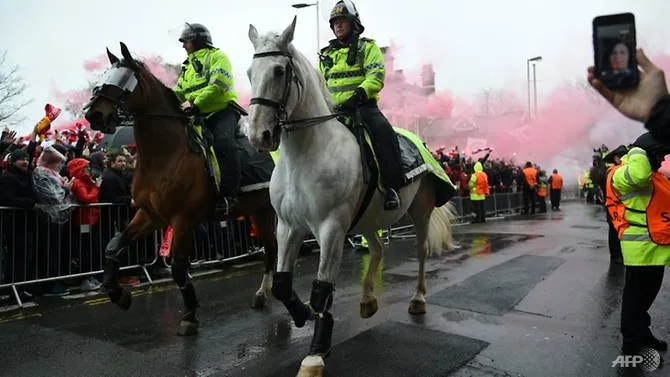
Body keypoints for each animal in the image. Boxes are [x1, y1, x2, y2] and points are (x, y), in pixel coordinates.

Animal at [84, 41, 278, 334]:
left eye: (122, 79)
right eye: (105, 75)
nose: (93, 114)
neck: (165, 154)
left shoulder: (183, 219)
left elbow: (177, 268)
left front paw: (189, 315)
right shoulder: (150, 215)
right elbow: (113, 245)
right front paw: (117, 292)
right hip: (259, 210)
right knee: (271, 248)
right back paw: (263, 294)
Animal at [249, 17, 460, 376]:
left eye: (278, 71)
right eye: (250, 71)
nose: (257, 135)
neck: (306, 155)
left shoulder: (331, 229)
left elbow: (322, 289)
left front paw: (315, 354)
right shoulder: (288, 227)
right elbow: (281, 284)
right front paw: (303, 314)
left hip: (419, 212)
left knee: (420, 252)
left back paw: (418, 300)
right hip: (367, 219)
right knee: (376, 249)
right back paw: (367, 301)